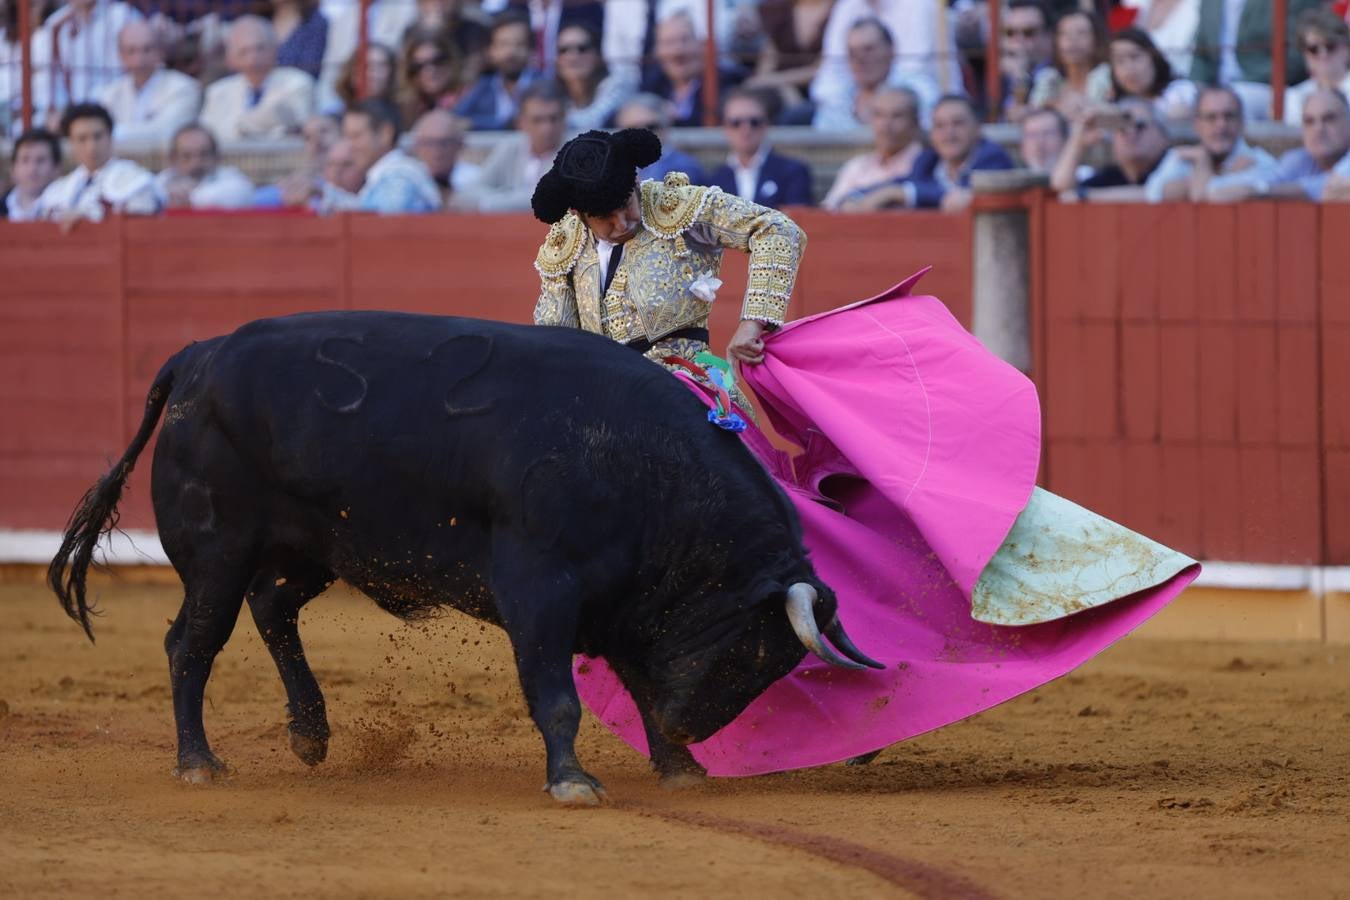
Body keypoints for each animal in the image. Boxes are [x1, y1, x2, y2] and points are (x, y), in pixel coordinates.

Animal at [47, 313, 874, 804]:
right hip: (218, 550)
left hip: (320, 543)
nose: (688, 727)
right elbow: (557, 693)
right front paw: (574, 782)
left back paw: (311, 734)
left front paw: (676, 768)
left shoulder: (624, 602)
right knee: (191, 642)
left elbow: (637, 683)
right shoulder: (541, 587)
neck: (642, 467)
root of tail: (197, 356)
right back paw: (199, 762)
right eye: (756, 649)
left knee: (272, 606)